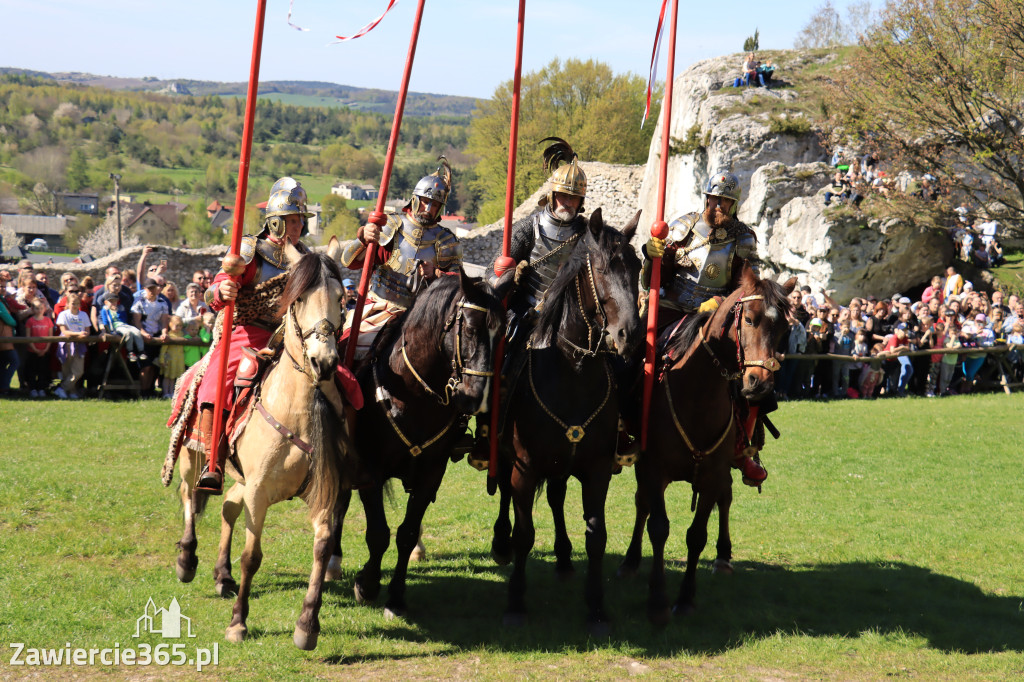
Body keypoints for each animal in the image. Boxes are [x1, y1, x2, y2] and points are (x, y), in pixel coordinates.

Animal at [167, 245, 352, 650]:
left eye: (341, 298)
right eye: (299, 298)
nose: (324, 361)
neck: (294, 408)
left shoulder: (322, 494)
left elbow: (322, 546)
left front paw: (307, 625)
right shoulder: (259, 492)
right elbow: (251, 556)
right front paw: (238, 623)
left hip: (241, 480)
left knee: (227, 508)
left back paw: (222, 575)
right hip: (192, 458)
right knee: (189, 494)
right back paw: (187, 559)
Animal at [332, 268, 511, 619]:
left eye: (501, 338)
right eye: (471, 329)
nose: (474, 399)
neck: (412, 392)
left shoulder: (431, 472)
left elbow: (406, 532)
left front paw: (396, 598)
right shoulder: (370, 470)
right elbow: (378, 533)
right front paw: (367, 586)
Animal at [491, 208, 642, 634]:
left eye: (639, 267)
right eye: (602, 268)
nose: (629, 336)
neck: (572, 369)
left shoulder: (597, 469)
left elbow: (596, 535)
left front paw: (596, 608)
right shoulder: (525, 468)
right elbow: (524, 533)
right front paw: (515, 603)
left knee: (557, 497)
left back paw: (561, 558)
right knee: (506, 494)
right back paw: (500, 544)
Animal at [617, 262, 795, 625]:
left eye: (785, 329)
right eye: (750, 319)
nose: (759, 384)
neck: (696, 392)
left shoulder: (713, 473)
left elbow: (697, 534)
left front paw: (685, 599)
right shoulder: (653, 469)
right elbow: (658, 526)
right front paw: (658, 601)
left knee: (726, 498)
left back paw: (724, 557)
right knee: (642, 504)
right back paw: (629, 562)